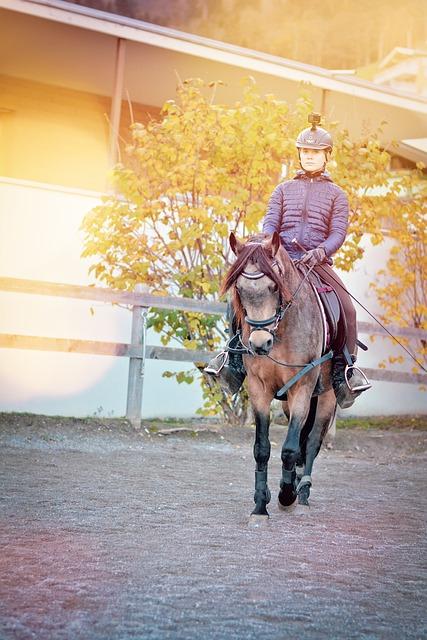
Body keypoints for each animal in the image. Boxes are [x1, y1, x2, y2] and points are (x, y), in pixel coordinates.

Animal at [222, 230, 340, 520]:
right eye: (239, 290)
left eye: (274, 287)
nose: (260, 344)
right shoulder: (258, 389)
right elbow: (262, 449)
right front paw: (260, 505)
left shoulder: (303, 387)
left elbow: (290, 448)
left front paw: (286, 496)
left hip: (326, 396)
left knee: (311, 441)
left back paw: (303, 492)